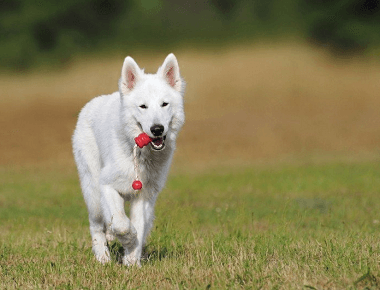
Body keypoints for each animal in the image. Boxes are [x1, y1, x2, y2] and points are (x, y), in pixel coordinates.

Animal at [72, 53, 185, 266]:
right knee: (96, 226)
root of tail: (90, 104)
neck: (140, 154)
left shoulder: (144, 196)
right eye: (143, 106)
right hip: (93, 192)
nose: (157, 129)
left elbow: (138, 225)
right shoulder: (107, 186)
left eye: (164, 104)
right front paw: (128, 239)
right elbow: (122, 224)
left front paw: (132, 261)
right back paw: (103, 257)